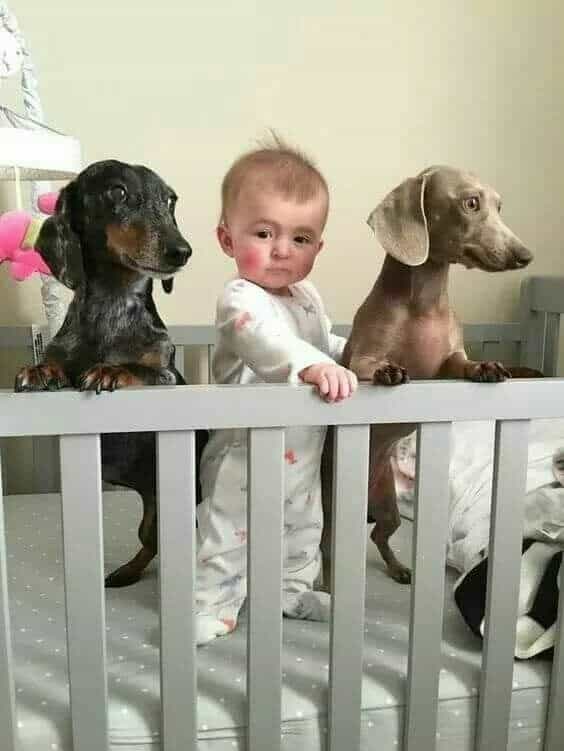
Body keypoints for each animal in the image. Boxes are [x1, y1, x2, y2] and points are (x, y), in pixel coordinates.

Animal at [322, 166, 532, 588]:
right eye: (471, 203)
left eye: (500, 206)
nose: (525, 256)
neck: (424, 301)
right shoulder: (362, 355)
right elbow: (364, 366)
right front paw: (387, 370)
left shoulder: (446, 363)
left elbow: (460, 363)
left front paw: (485, 367)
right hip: (331, 509)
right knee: (325, 548)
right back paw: (326, 583)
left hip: (388, 506)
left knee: (378, 535)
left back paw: (399, 568)